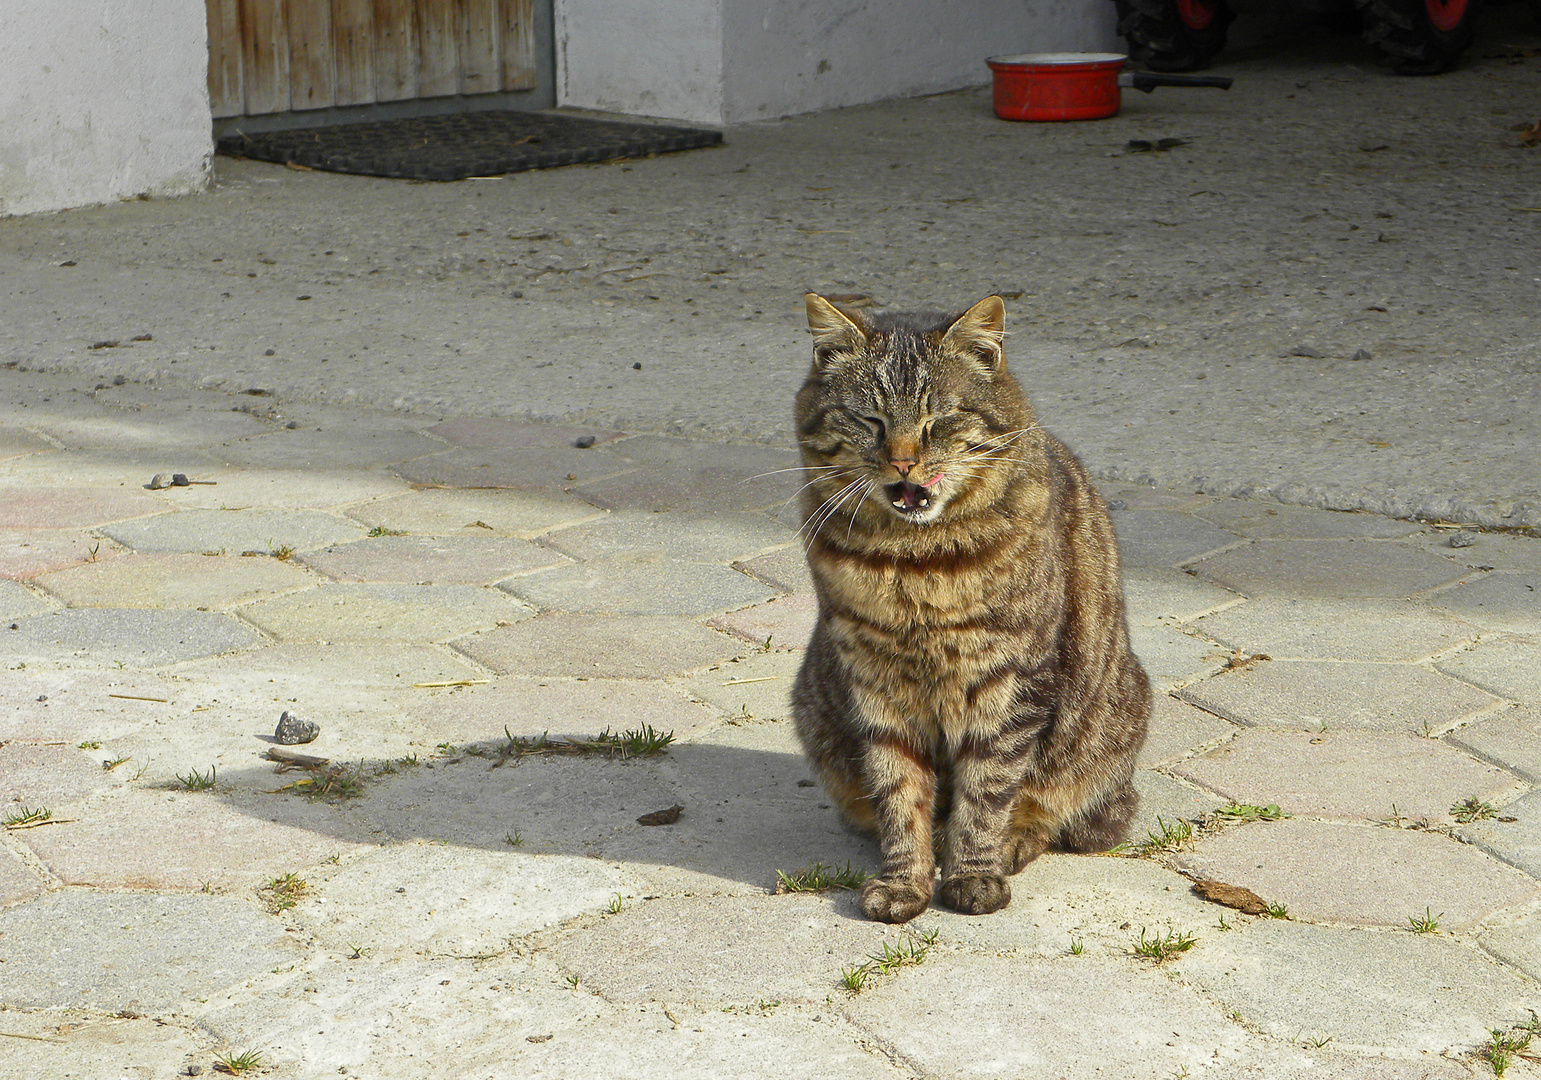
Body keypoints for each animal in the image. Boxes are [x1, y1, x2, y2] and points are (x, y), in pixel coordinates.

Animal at [795, 292, 1146, 918]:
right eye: (870, 420)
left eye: (938, 419)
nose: (904, 461)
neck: (913, 561)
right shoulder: (875, 684)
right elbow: (898, 793)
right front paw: (903, 881)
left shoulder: (1008, 682)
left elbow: (986, 792)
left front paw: (973, 874)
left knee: (1056, 810)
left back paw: (1013, 843)